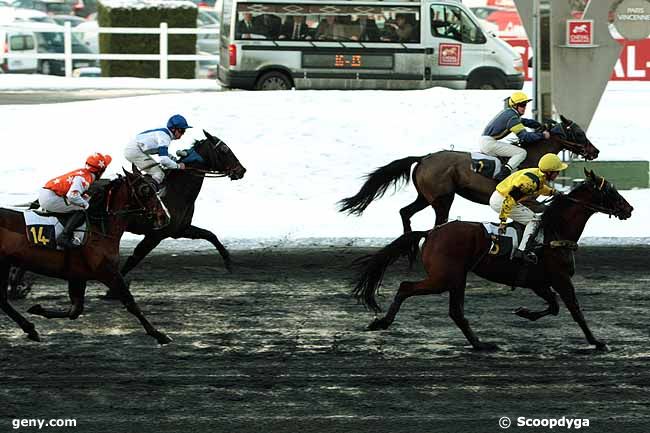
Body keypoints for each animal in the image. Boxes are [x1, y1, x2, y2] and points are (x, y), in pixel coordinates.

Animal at [0, 167, 172, 342]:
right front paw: (159, 335)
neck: (100, 228)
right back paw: (29, 327)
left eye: (156, 188)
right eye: (145, 189)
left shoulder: (78, 276)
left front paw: (37, 309)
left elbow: (75, 311)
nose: (165, 216)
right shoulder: (108, 272)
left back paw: (30, 328)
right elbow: (130, 302)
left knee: (3, 300)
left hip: (5, 263)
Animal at [340, 113, 596, 231]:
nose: (595, 151)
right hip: (443, 199)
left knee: (405, 212)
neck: (535, 159)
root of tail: (424, 158)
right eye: (579, 134)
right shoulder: (528, 200)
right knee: (436, 223)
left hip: (426, 197)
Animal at [352, 169, 632, 352]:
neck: (555, 231)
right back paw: (382, 322)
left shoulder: (539, 282)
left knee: (456, 312)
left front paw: (524, 312)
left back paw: (479, 343)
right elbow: (575, 310)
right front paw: (597, 342)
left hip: (456, 278)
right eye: (610, 190)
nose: (629, 209)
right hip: (445, 277)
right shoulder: (561, 279)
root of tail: (431, 232)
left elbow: (553, 307)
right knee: (406, 288)